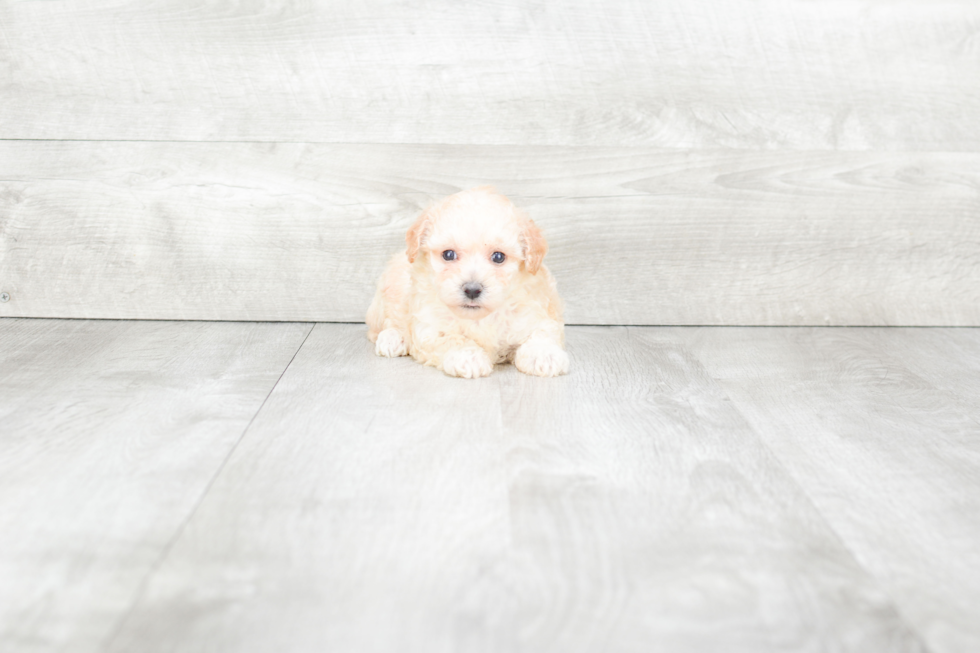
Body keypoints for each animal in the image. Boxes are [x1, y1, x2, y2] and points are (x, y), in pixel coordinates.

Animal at [366, 186, 568, 376]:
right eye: (448, 254)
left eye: (498, 257)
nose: (472, 290)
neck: (480, 318)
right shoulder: (429, 328)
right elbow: (452, 339)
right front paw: (468, 357)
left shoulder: (536, 314)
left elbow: (542, 333)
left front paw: (544, 355)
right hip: (387, 295)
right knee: (385, 324)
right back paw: (392, 338)